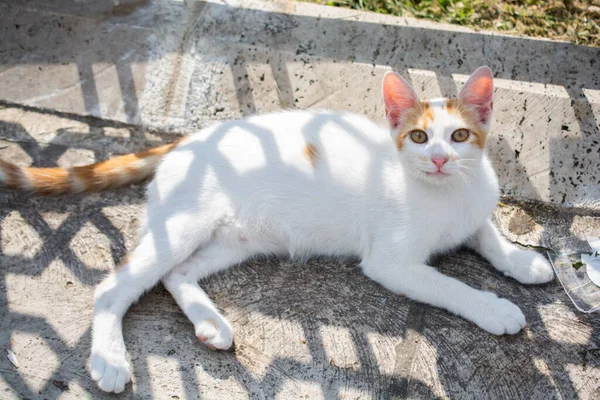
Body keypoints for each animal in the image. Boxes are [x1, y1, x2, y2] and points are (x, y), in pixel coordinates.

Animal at [0, 66, 552, 394]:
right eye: (418, 137)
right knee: (114, 286)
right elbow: (450, 285)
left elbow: (488, 233)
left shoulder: (474, 206)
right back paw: (110, 359)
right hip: (184, 223)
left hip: (238, 238)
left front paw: (521, 261)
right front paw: (494, 308)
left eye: (459, 136)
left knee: (177, 274)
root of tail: (189, 138)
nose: (438, 158)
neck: (447, 192)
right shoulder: (391, 263)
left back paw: (210, 323)